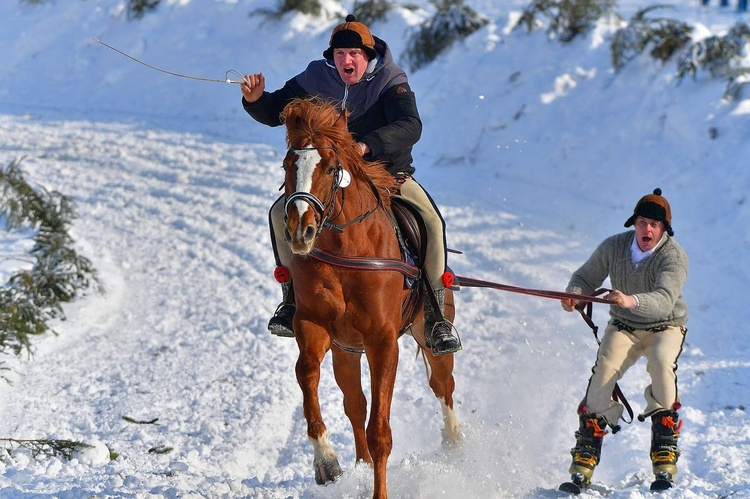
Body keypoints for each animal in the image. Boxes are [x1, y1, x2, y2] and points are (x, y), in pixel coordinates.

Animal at [280, 95, 462, 498]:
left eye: (331, 167)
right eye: (287, 164)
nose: (300, 230)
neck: (348, 249)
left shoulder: (382, 342)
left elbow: (381, 432)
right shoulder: (313, 325)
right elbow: (307, 372)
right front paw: (326, 460)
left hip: (429, 330)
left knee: (442, 385)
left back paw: (455, 441)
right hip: (347, 351)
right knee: (355, 404)